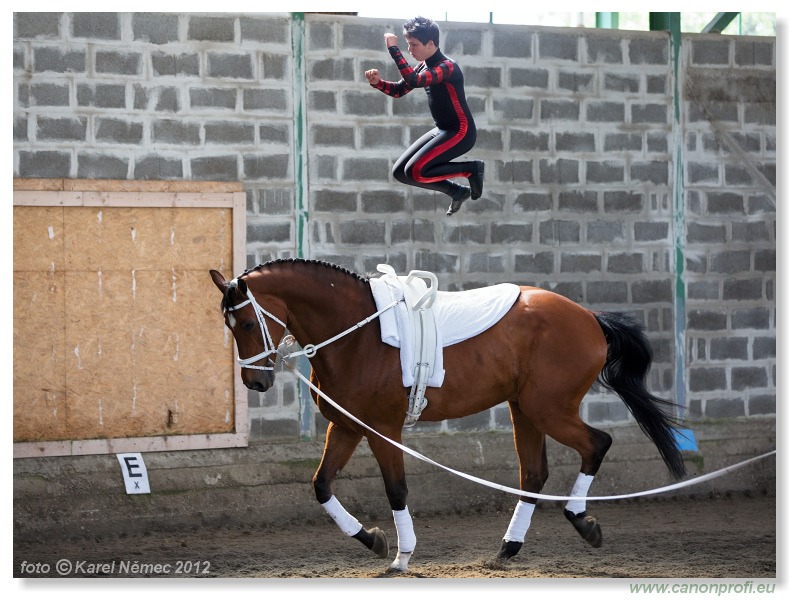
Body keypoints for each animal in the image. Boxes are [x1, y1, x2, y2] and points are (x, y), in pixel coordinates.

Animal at [209, 258, 684, 572]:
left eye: (247, 324)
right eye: (228, 327)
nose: (255, 383)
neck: (356, 333)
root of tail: (589, 316)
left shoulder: (382, 430)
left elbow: (396, 489)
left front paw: (402, 556)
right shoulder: (346, 427)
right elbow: (321, 485)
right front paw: (375, 540)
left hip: (548, 409)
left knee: (597, 444)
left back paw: (582, 522)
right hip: (524, 409)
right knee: (533, 474)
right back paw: (507, 549)